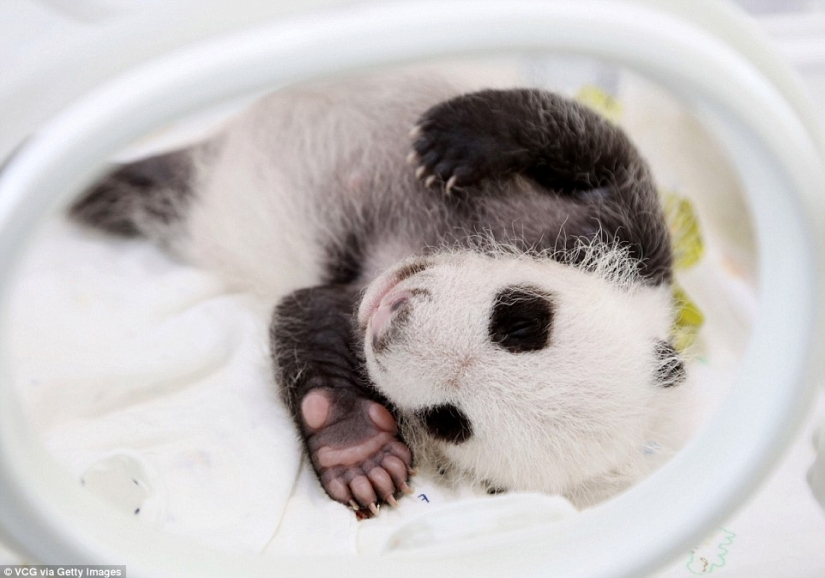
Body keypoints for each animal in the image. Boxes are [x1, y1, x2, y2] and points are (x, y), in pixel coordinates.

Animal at [70, 74, 689, 519]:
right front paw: (452, 142)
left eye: (449, 421)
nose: (396, 322)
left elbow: (307, 316)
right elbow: (587, 140)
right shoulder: (627, 237)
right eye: (519, 322)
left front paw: (357, 453)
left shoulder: (348, 302)